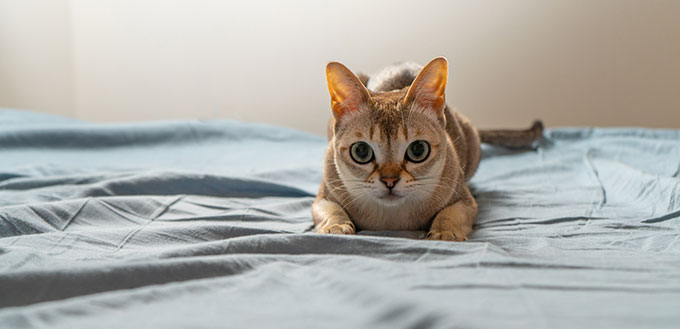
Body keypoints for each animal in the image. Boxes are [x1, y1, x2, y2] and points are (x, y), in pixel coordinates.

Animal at [312, 57, 540, 241]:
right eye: (361, 151)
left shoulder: (465, 201)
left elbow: (450, 214)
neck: (392, 219)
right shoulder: (324, 194)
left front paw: (445, 232)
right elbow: (330, 209)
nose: (389, 181)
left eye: (418, 150)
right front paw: (335, 226)